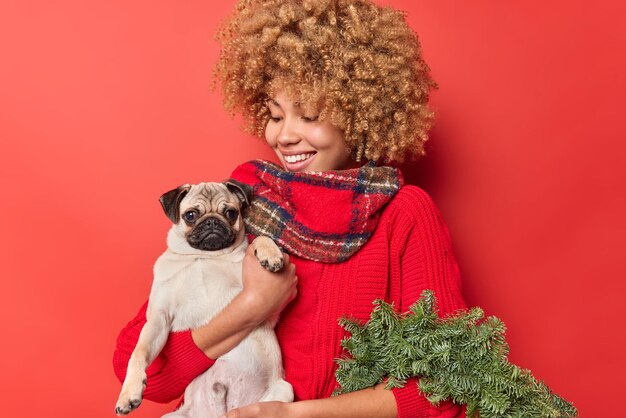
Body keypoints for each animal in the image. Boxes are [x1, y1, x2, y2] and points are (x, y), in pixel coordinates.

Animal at [114, 180, 292, 418]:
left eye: (231, 213)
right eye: (190, 215)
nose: (212, 222)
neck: (205, 256)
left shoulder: (270, 312)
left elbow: (261, 239)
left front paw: (270, 254)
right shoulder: (159, 319)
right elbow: (138, 352)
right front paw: (128, 393)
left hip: (284, 391)